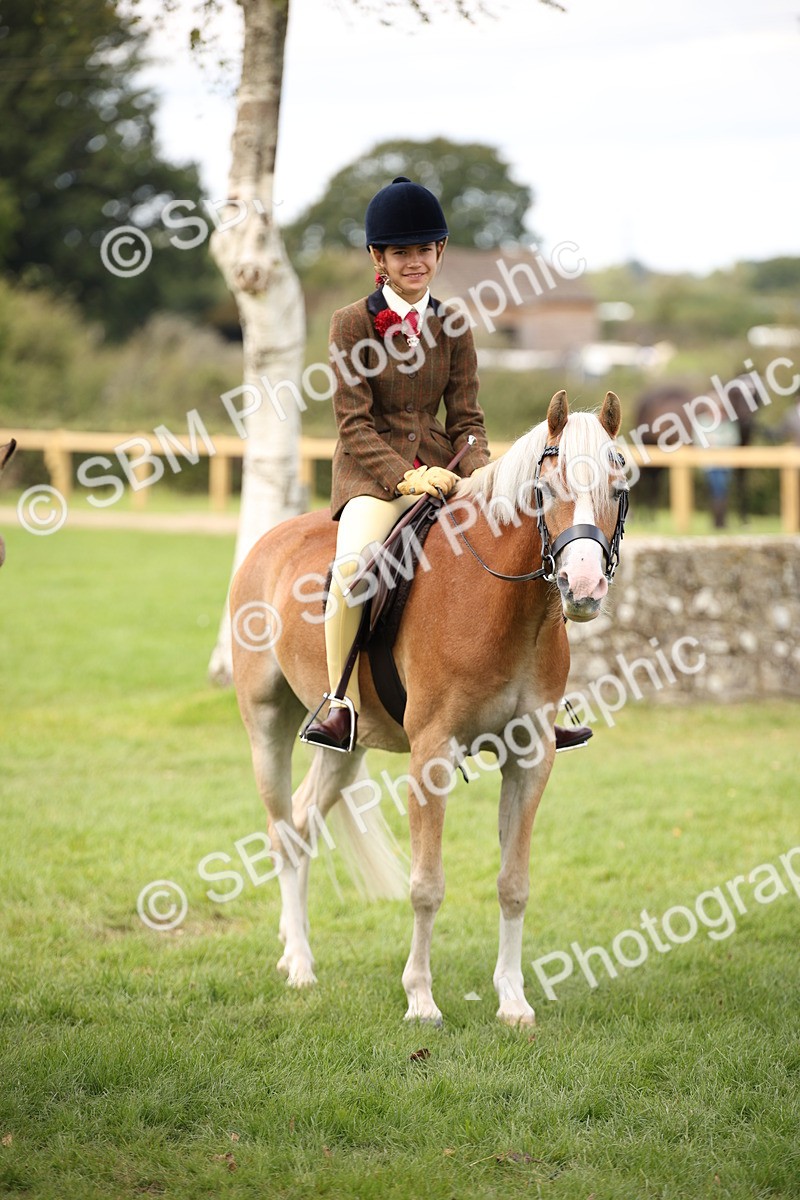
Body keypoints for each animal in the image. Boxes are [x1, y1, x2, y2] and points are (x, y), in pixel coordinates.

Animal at [230, 391, 628, 1026]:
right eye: (544, 490)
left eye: (618, 487)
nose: (583, 587)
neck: (500, 603)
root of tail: (272, 540)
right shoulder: (431, 756)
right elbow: (426, 885)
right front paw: (420, 999)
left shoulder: (530, 758)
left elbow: (514, 883)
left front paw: (513, 1000)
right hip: (266, 723)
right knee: (283, 832)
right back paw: (300, 965)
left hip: (346, 745)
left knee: (304, 819)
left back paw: (298, 951)